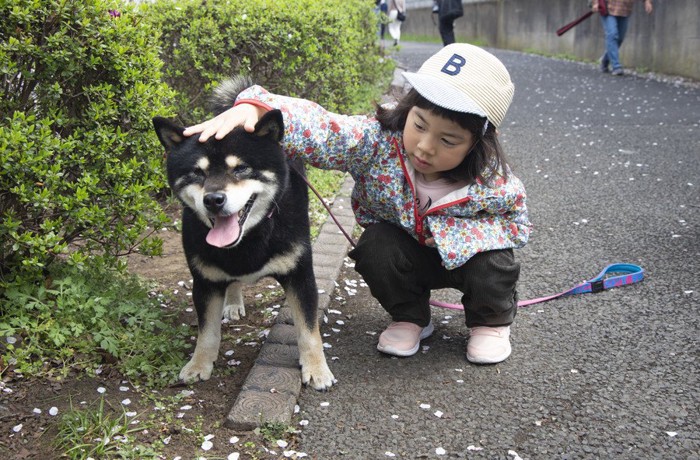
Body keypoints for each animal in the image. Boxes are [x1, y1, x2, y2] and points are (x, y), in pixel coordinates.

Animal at [152, 81, 336, 390]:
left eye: (240, 168)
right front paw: (199, 364)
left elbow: (309, 331)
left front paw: (316, 369)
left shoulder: (300, 275)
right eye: (196, 173)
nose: (213, 200)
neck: (251, 237)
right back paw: (234, 302)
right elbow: (207, 332)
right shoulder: (205, 281)